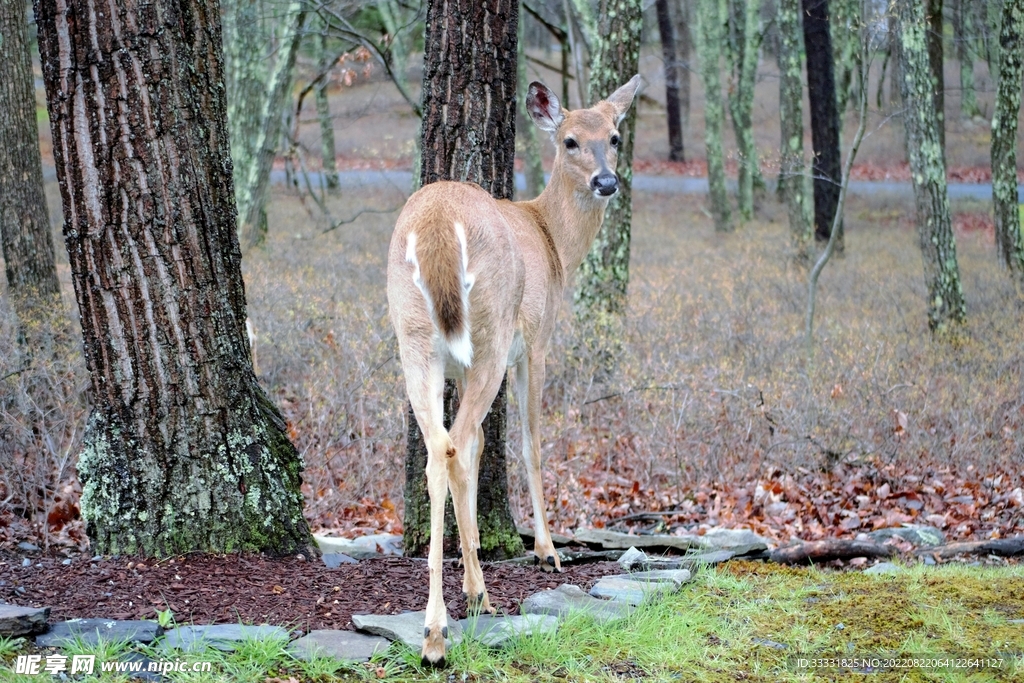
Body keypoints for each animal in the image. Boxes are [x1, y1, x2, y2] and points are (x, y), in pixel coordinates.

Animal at [386, 74, 640, 666]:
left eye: (615, 136)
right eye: (570, 140)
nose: (606, 181)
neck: (552, 241)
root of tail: (438, 227)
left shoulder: (461, 364)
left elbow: (482, 447)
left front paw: (475, 553)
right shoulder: (537, 342)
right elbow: (529, 442)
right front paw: (547, 551)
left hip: (415, 337)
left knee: (440, 448)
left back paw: (450, 610)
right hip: (492, 330)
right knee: (454, 445)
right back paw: (449, 623)